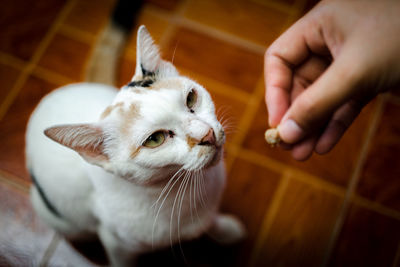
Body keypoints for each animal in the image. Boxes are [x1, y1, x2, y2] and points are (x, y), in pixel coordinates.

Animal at [26, 25, 245, 267]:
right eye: (155, 139)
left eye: (191, 98)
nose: (207, 134)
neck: (180, 190)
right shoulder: (116, 243)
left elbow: (211, 222)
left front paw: (226, 230)